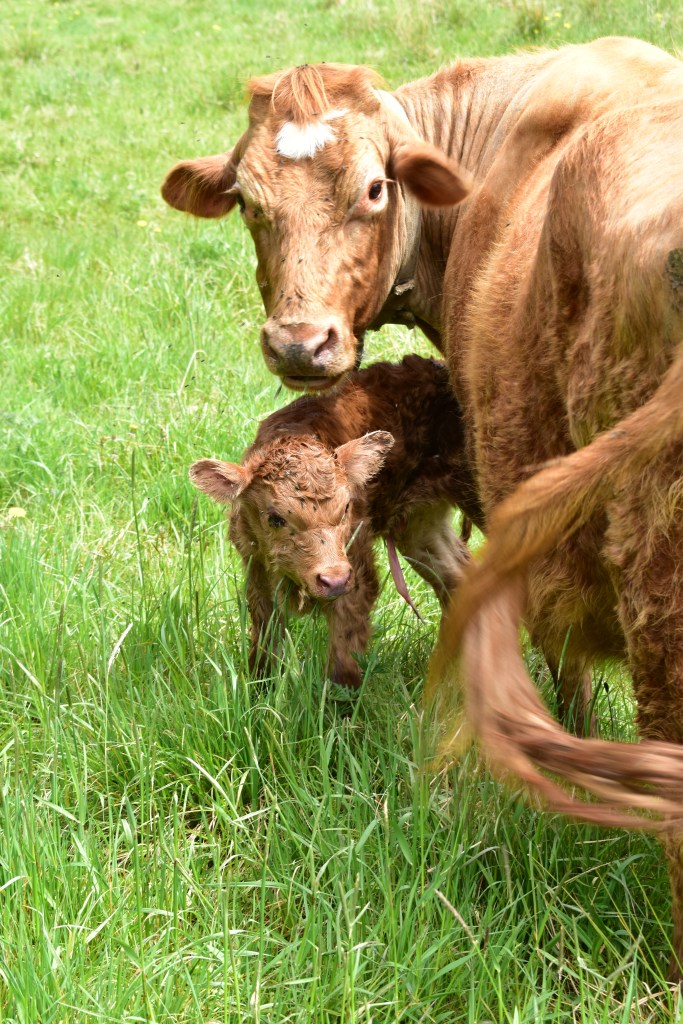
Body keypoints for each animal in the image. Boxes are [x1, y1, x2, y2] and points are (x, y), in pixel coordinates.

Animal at [190, 355, 482, 689]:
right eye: (275, 518)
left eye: (345, 509)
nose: (334, 579)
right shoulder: (257, 569)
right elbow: (265, 644)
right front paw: (261, 691)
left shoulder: (357, 572)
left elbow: (344, 659)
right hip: (419, 525)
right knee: (457, 576)